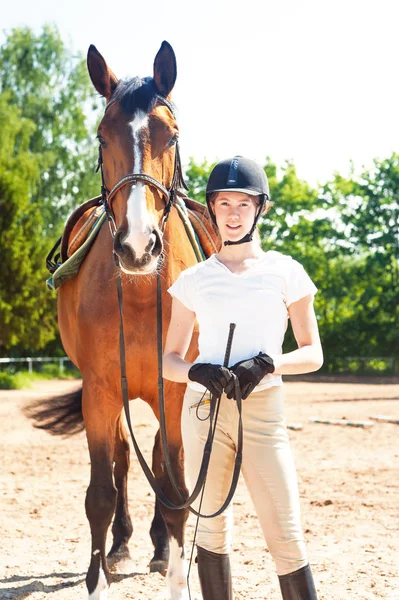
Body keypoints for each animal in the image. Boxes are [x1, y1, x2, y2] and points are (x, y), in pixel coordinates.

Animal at [57, 43, 208, 600]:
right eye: (103, 136)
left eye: (172, 135)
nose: (138, 247)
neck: (142, 293)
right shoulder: (99, 389)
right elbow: (100, 492)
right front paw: (96, 578)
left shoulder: (176, 390)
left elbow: (175, 488)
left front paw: (177, 573)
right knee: (124, 459)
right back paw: (121, 546)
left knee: (160, 466)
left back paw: (160, 550)